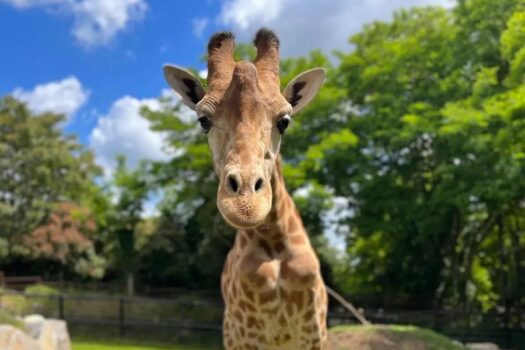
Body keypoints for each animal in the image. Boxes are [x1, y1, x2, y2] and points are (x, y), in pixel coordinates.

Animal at [164, 28, 328, 350]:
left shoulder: (313, 335)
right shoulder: (246, 336)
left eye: (284, 121)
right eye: (203, 120)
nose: (245, 204)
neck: (274, 242)